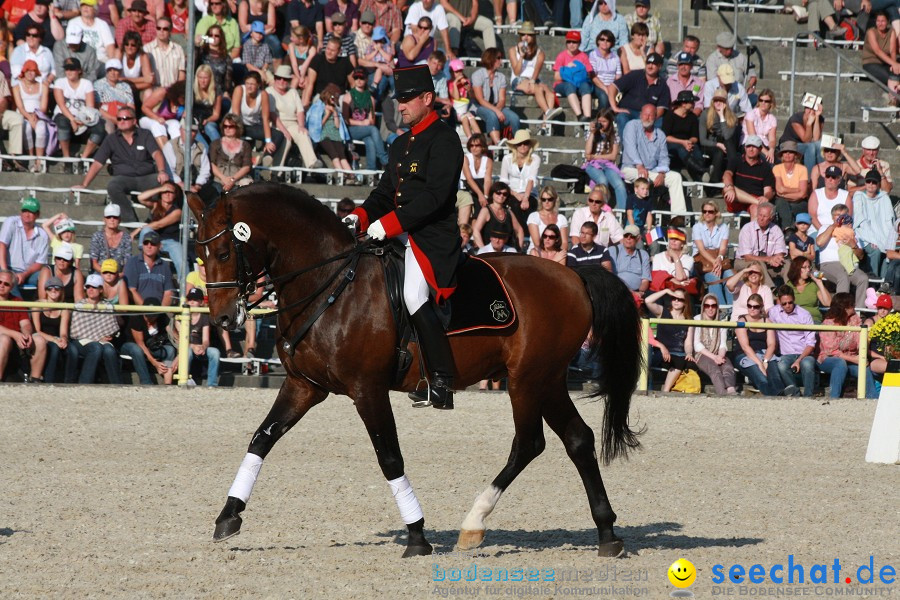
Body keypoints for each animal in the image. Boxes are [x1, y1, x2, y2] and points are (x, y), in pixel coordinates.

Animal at [186, 183, 644, 556]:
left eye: (224, 252)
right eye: (200, 254)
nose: (223, 319)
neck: (330, 282)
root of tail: (572, 275)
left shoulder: (367, 389)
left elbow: (389, 457)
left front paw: (417, 536)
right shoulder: (304, 385)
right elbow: (261, 439)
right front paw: (228, 516)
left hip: (527, 380)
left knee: (529, 444)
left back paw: (474, 523)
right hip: (546, 380)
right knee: (578, 440)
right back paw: (607, 534)